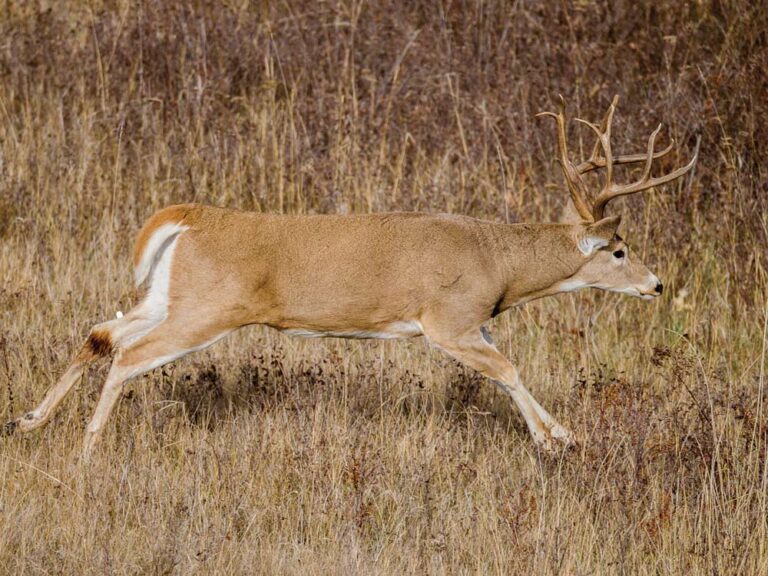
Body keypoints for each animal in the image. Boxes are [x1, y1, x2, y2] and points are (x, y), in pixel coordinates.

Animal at [4, 98, 704, 460]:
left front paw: (561, 432)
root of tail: (188, 218)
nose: (657, 284)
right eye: (619, 249)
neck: (499, 264)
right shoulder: (448, 321)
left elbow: (507, 367)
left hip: (168, 296)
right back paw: (88, 450)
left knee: (102, 331)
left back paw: (28, 422)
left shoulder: (468, 324)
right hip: (209, 309)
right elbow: (508, 369)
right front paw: (558, 438)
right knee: (127, 352)